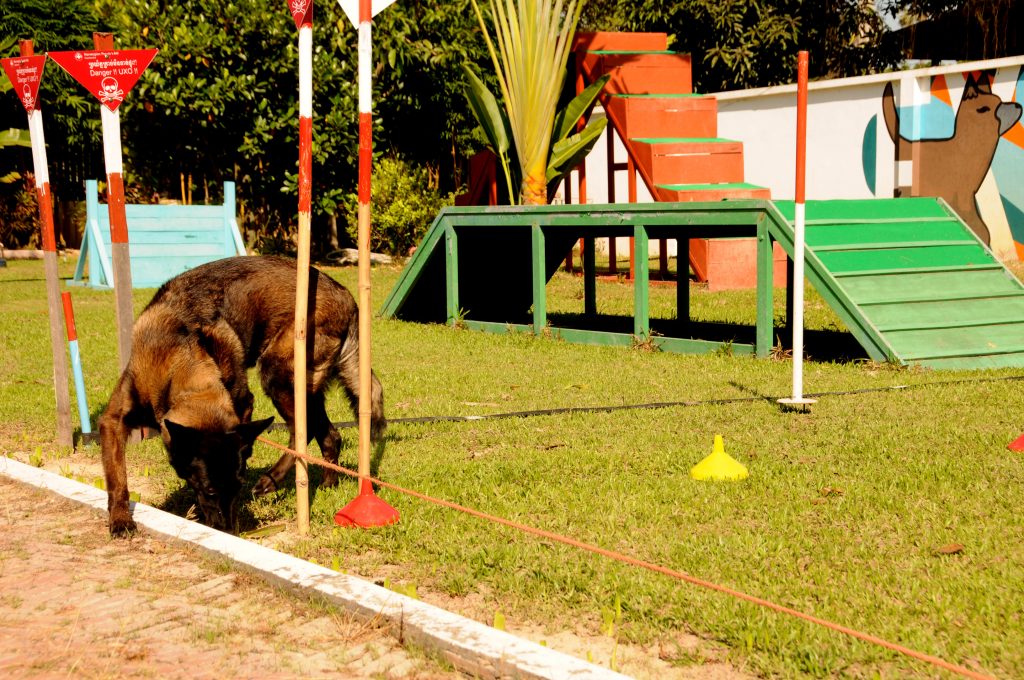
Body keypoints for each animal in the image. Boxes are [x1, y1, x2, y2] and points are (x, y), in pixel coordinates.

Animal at [101, 255, 385, 536]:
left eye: (237, 486)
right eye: (210, 489)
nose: (229, 532)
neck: (178, 363)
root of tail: (346, 297)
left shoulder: (242, 403)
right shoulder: (113, 420)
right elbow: (117, 479)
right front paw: (121, 518)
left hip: (277, 373)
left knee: (300, 433)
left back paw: (272, 479)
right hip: (306, 390)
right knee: (330, 436)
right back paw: (328, 483)